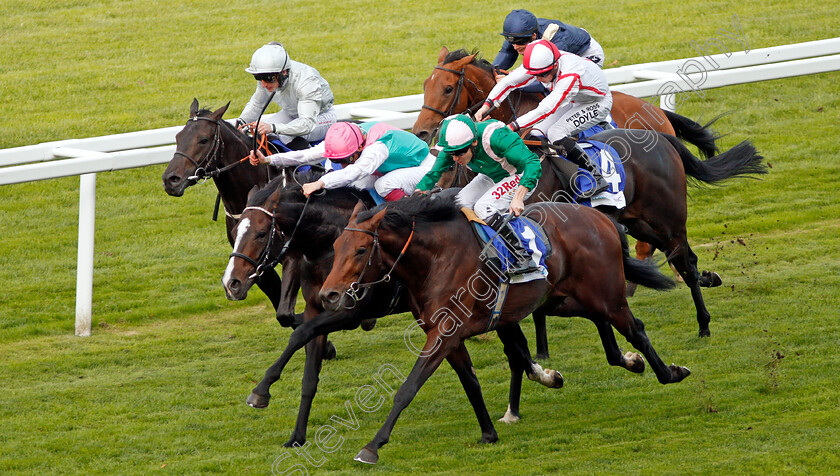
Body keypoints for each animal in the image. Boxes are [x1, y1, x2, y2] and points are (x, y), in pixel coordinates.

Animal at [318, 196, 692, 464]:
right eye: (335, 248)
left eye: (361, 250)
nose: (328, 295)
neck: (435, 259)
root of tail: (601, 218)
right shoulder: (450, 338)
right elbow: (471, 383)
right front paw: (488, 433)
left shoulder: (443, 335)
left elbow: (408, 388)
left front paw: (371, 446)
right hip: (563, 299)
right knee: (604, 327)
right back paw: (629, 361)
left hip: (607, 295)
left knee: (636, 329)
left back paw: (669, 372)